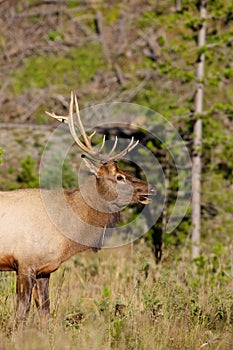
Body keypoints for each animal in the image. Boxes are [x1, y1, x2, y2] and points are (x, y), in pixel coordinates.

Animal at [0, 92, 157, 322]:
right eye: (119, 177)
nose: (151, 188)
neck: (66, 234)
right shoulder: (25, 263)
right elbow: (21, 314)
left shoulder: (45, 269)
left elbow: (45, 312)